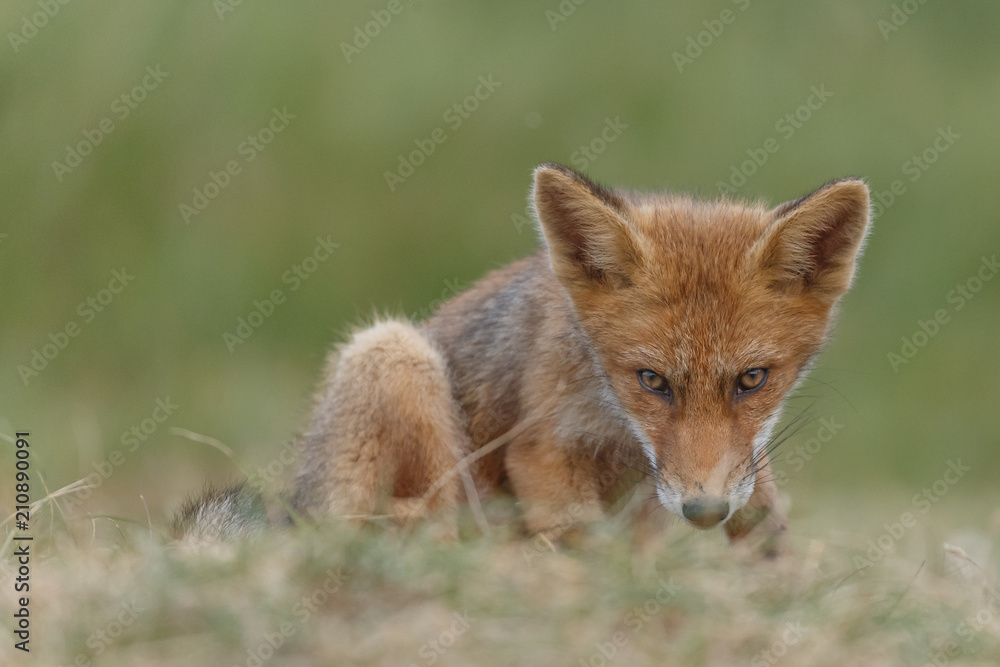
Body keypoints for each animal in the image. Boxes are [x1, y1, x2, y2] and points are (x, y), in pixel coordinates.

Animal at [173, 163, 871, 549]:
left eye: (752, 379)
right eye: (651, 380)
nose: (703, 511)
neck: (617, 429)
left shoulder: (721, 466)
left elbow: (759, 501)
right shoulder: (541, 450)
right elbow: (579, 540)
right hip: (395, 356)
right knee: (417, 527)